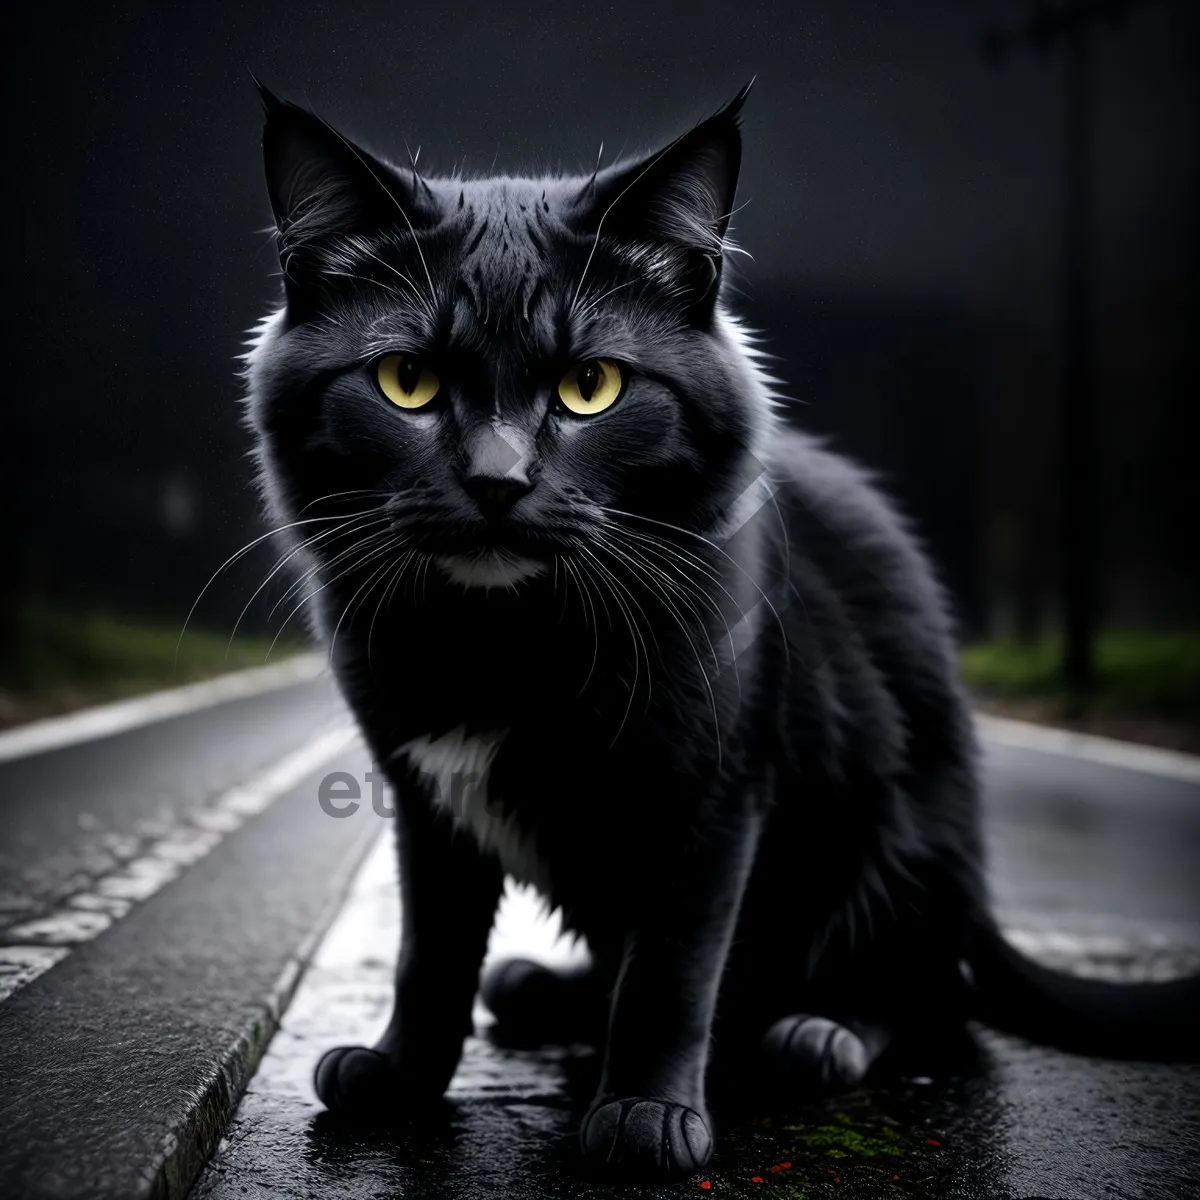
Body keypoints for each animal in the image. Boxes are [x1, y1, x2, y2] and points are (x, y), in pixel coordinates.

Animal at [243, 84, 1200, 1180]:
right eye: (407, 381)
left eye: (591, 387)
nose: (497, 480)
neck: (504, 638)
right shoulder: (422, 795)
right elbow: (430, 949)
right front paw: (402, 1076)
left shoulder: (715, 784)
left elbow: (671, 965)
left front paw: (646, 1115)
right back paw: (542, 989)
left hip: (912, 830)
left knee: (925, 989)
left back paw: (819, 1032)